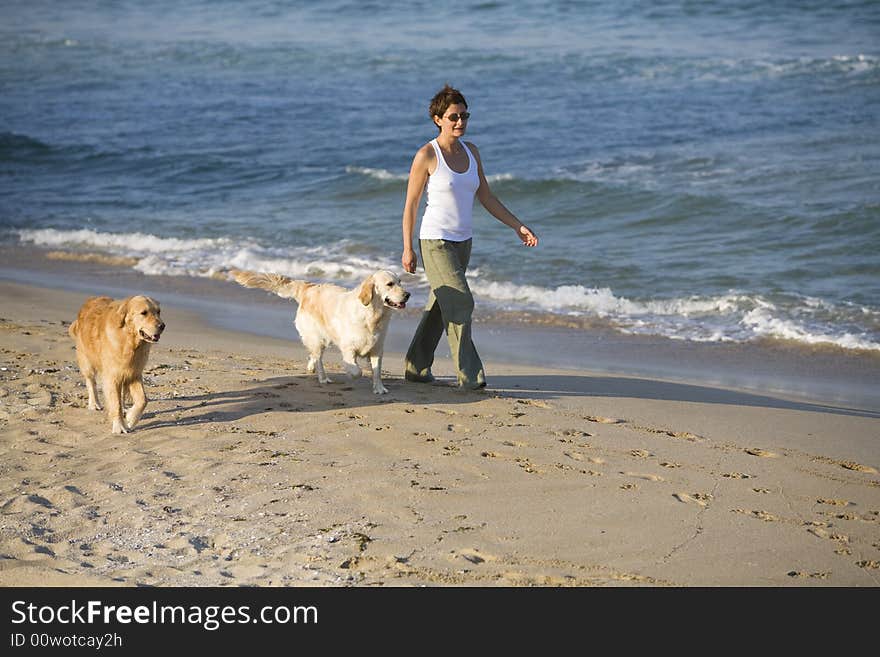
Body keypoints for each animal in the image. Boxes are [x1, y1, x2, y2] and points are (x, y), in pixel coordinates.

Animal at [69, 294, 165, 434]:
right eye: (144, 313)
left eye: (158, 312)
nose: (162, 326)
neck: (129, 341)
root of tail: (89, 301)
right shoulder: (112, 376)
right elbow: (115, 403)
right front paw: (119, 426)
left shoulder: (134, 373)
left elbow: (143, 400)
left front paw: (130, 418)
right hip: (86, 360)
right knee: (91, 382)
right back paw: (94, 404)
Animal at [234, 268, 412, 392]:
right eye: (390, 284)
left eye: (400, 282)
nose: (408, 294)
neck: (372, 315)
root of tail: (308, 287)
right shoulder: (348, 348)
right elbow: (357, 371)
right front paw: (352, 373)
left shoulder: (377, 349)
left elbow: (377, 371)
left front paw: (379, 388)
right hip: (317, 337)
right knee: (318, 357)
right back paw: (323, 378)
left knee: (313, 354)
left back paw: (311, 366)